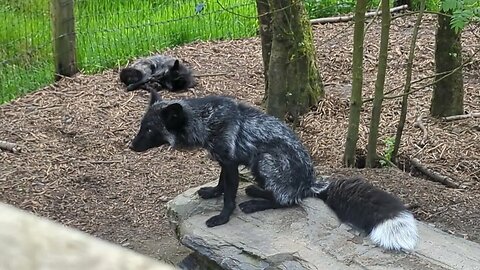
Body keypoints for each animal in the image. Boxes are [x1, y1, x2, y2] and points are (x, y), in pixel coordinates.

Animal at [129, 90, 418, 251]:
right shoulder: (226, 162)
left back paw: (255, 202)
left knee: (286, 201)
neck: (206, 119)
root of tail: (311, 182)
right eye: (142, 126)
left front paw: (222, 218)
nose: (131, 146)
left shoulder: (231, 162)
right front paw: (212, 192)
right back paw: (256, 192)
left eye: (150, 130)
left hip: (265, 159)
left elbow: (230, 197)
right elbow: (221, 185)